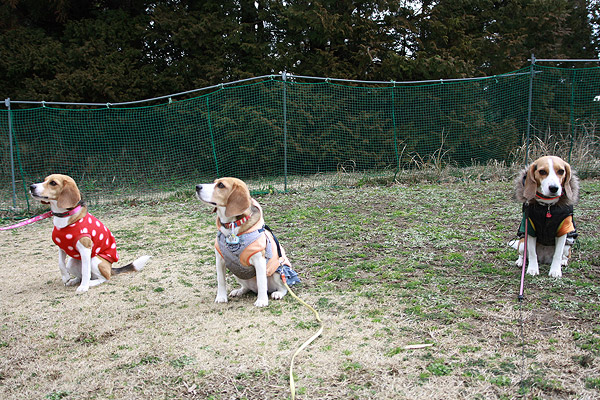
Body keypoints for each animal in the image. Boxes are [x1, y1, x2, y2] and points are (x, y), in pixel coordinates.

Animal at [197, 177, 300, 306]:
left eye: (221, 185)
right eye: (214, 181)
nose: (197, 187)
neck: (232, 226)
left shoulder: (259, 260)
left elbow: (261, 282)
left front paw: (262, 301)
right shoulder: (220, 260)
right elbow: (221, 281)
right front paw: (221, 297)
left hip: (279, 271)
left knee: (283, 287)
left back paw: (277, 294)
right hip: (238, 273)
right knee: (247, 288)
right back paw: (239, 291)